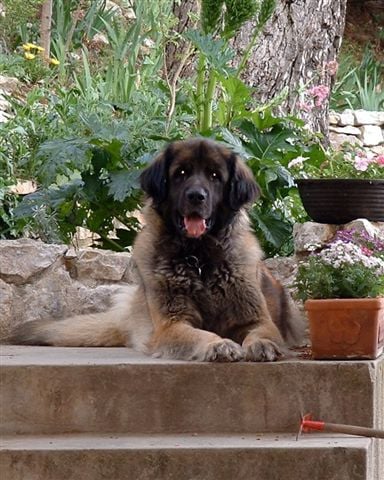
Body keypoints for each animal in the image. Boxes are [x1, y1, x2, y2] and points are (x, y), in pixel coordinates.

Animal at [9, 138, 304, 360]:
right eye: (181, 173)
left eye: (215, 176)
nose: (196, 196)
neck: (199, 257)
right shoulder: (172, 324)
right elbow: (200, 334)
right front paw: (217, 344)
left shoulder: (256, 319)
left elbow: (261, 332)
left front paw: (261, 345)